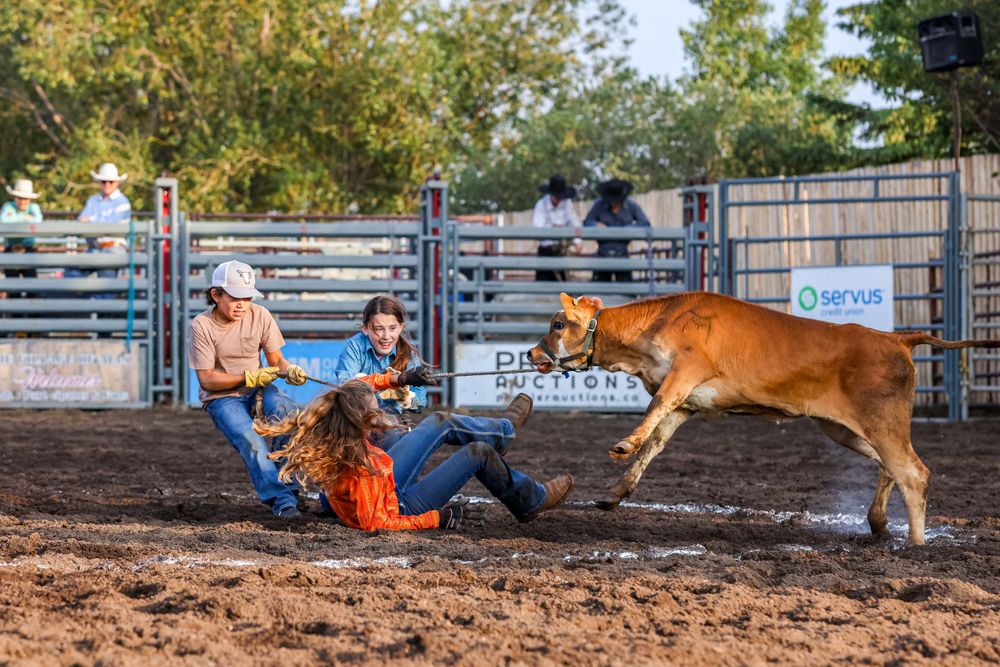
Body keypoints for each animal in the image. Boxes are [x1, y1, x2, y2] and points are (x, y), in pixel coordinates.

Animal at [527, 292, 1000, 545]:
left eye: (557, 324)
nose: (531, 354)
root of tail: (894, 338)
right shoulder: (686, 404)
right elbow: (656, 441)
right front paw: (616, 492)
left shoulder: (686, 372)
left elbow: (653, 410)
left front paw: (623, 444)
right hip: (844, 429)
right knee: (891, 467)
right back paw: (879, 525)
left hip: (882, 423)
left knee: (914, 472)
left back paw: (916, 546)